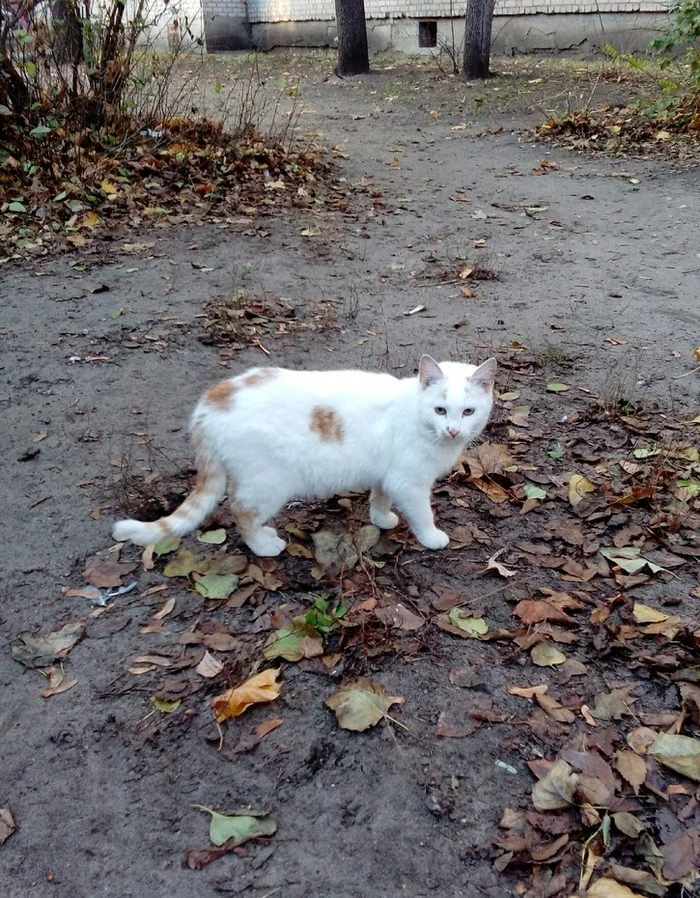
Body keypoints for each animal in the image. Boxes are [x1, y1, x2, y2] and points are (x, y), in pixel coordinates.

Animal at [113, 356, 498, 552]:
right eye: (439, 410)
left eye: (468, 412)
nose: (453, 431)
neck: (416, 416)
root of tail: (212, 399)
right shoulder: (410, 483)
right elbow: (422, 514)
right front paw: (432, 538)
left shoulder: (387, 475)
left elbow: (380, 497)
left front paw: (381, 520)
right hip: (268, 483)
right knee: (240, 512)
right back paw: (263, 546)